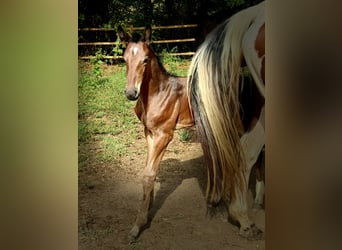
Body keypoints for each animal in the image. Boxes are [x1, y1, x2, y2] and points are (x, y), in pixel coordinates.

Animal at [117, 24, 194, 240]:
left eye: (145, 60)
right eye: (124, 60)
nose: (131, 93)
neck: (158, 93)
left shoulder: (164, 135)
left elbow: (149, 174)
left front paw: (138, 225)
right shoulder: (149, 132)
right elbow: (150, 169)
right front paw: (148, 204)